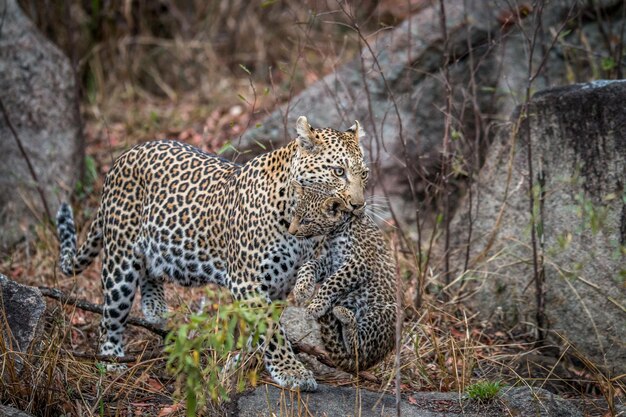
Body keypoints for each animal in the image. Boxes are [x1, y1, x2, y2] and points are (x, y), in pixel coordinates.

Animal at [54, 115, 366, 388]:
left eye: (364, 174)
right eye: (338, 171)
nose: (358, 205)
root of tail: (123, 156)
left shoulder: (281, 284)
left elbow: (262, 328)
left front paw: (243, 361)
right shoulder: (248, 282)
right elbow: (271, 331)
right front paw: (292, 372)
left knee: (150, 274)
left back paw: (156, 310)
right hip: (120, 261)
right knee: (111, 315)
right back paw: (111, 360)